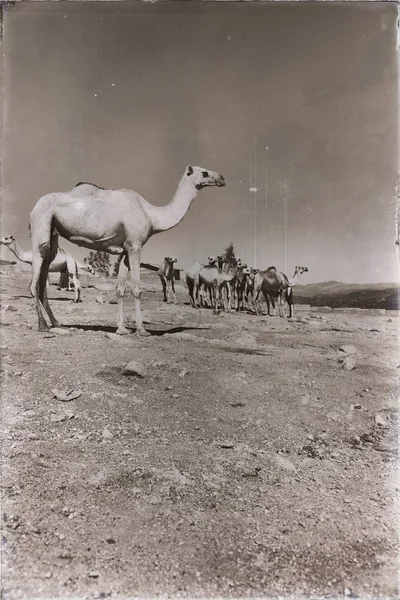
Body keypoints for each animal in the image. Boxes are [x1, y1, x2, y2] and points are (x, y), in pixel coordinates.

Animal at [28, 165, 225, 332]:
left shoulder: (124, 250)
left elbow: (120, 289)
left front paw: (122, 329)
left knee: (45, 271)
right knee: (35, 279)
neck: (152, 216)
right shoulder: (136, 246)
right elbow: (137, 288)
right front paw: (141, 330)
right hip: (41, 221)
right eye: (204, 172)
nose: (222, 178)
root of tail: (33, 208)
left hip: (53, 232)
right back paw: (42, 325)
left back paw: (55, 322)